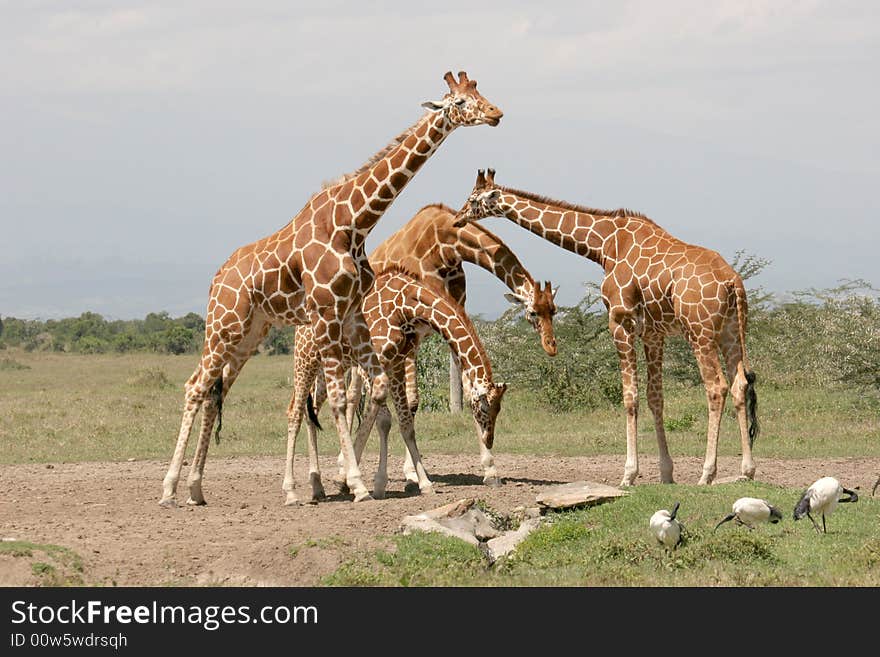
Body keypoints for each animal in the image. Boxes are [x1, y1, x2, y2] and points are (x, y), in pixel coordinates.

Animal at [292, 266, 506, 498]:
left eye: (499, 409)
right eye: (483, 408)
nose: (489, 439)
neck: (407, 304)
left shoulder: (395, 363)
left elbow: (402, 422)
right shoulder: (374, 362)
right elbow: (382, 420)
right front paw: (354, 480)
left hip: (327, 366)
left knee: (311, 410)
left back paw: (317, 486)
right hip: (310, 359)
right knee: (302, 409)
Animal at [330, 202, 556, 490]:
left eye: (553, 310)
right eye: (533, 313)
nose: (551, 346)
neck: (447, 245)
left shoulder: (448, 324)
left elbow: (466, 388)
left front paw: (490, 470)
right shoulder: (414, 334)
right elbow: (412, 401)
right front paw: (412, 474)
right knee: (352, 394)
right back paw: (342, 467)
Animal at [454, 168, 756, 486]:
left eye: (473, 200)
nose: (458, 218)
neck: (604, 245)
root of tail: (733, 282)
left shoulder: (620, 321)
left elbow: (630, 397)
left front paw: (628, 475)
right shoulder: (653, 333)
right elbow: (655, 398)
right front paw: (666, 474)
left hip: (700, 331)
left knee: (716, 387)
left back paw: (707, 474)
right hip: (731, 331)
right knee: (739, 384)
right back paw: (747, 470)